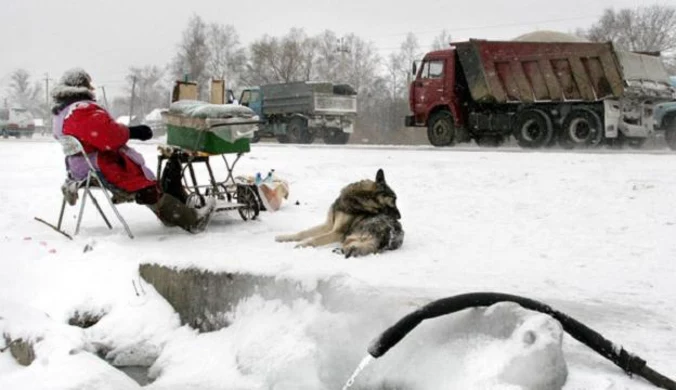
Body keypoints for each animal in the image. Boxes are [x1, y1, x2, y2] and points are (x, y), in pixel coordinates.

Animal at [274, 169, 402, 258]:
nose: (400, 217)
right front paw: (283, 237)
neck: (358, 198)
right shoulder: (328, 225)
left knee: (354, 249)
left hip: (350, 237)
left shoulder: (337, 233)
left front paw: (302, 244)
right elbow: (302, 232)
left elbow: (314, 239)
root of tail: (389, 235)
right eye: (394, 200)